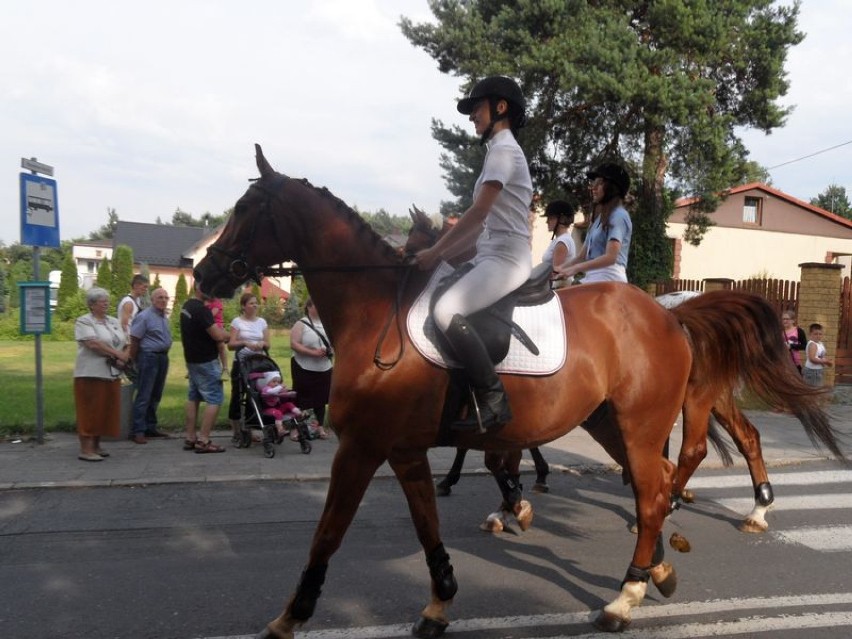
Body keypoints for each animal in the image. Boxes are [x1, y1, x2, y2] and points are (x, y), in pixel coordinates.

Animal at [198, 146, 704, 639]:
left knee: (650, 491)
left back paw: (625, 596)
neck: (376, 311)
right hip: (608, 422)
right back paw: (656, 570)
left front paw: (292, 615)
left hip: (639, 426)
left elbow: (328, 532)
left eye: (243, 209)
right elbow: (427, 524)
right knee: (655, 485)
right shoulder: (403, 449)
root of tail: (667, 314)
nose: (203, 273)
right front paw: (439, 602)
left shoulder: (361, 446)